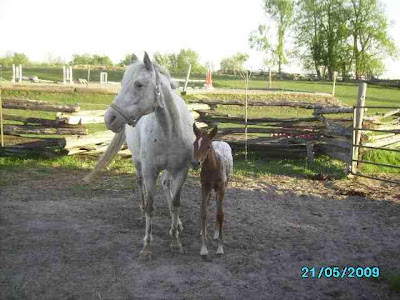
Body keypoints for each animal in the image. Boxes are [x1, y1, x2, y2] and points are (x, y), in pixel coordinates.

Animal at [85, 52, 197, 258]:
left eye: (139, 84)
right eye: (123, 82)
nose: (110, 118)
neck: (170, 130)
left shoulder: (180, 171)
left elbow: (176, 204)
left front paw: (175, 240)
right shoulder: (149, 171)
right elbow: (150, 207)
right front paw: (147, 246)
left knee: (166, 185)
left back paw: (176, 224)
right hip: (138, 164)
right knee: (140, 186)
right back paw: (141, 214)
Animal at [192, 123, 233, 255]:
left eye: (208, 146)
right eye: (194, 144)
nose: (195, 163)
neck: (213, 168)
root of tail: (220, 141)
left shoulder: (221, 188)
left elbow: (220, 214)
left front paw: (220, 248)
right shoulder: (205, 186)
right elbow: (203, 211)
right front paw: (204, 248)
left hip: (223, 186)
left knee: (218, 208)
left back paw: (216, 232)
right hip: (210, 189)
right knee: (209, 203)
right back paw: (204, 231)